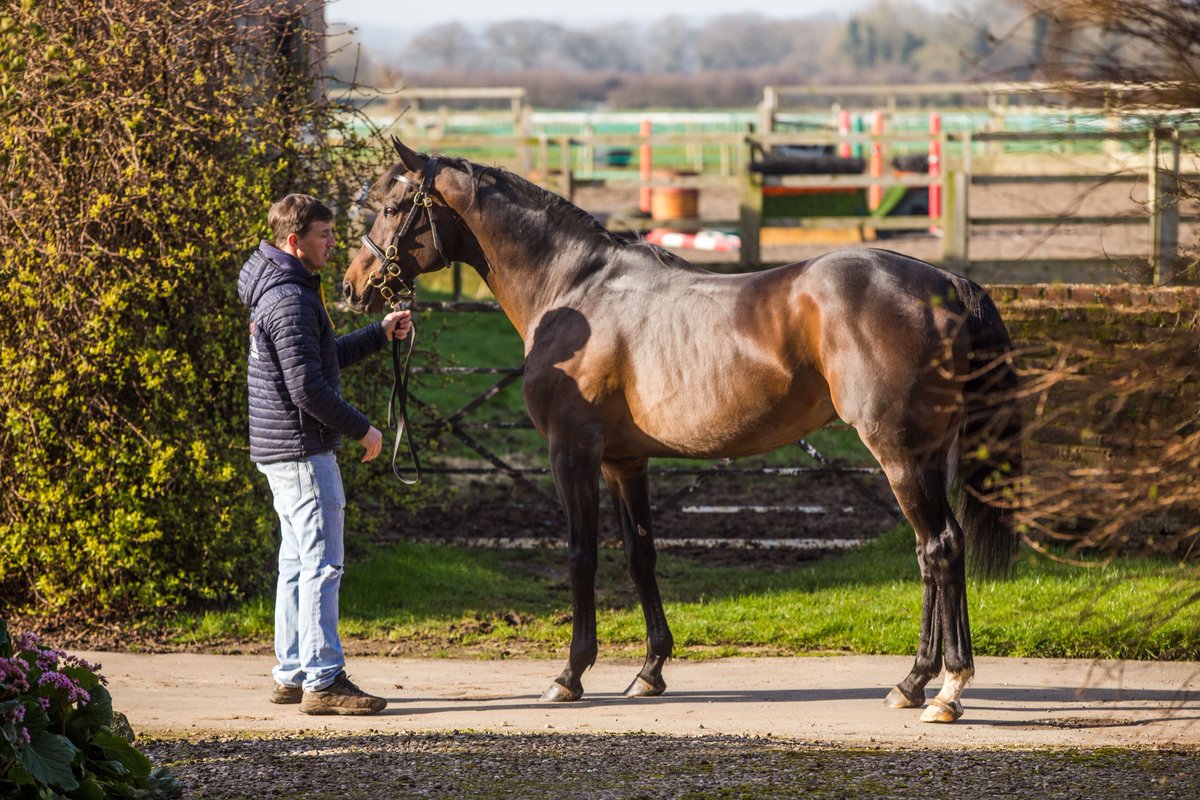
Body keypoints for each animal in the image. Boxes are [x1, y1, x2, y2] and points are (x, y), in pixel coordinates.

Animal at [342, 138, 1023, 723]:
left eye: (392, 207)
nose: (353, 287)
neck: (576, 291)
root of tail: (950, 285)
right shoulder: (625, 461)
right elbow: (640, 555)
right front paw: (649, 671)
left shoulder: (573, 453)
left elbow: (582, 555)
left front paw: (570, 675)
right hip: (923, 456)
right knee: (932, 553)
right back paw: (913, 682)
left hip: (899, 453)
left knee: (940, 547)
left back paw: (947, 690)